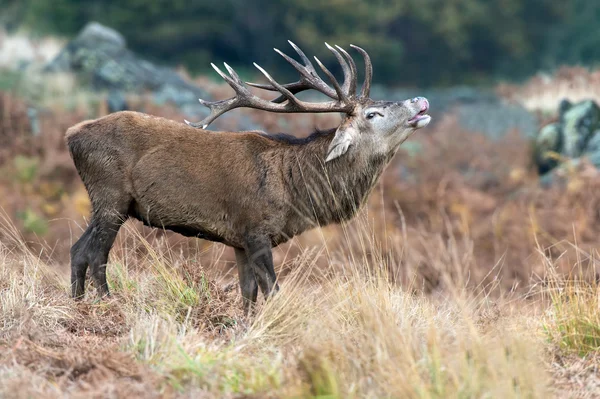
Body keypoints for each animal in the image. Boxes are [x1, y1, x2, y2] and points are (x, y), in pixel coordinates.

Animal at [65, 41, 432, 316]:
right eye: (373, 113)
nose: (421, 99)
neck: (295, 189)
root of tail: (71, 135)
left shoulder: (238, 239)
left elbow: (248, 293)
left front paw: (246, 327)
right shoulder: (255, 228)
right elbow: (272, 290)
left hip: (107, 203)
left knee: (77, 249)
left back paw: (78, 304)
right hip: (111, 195)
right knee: (97, 254)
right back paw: (109, 304)